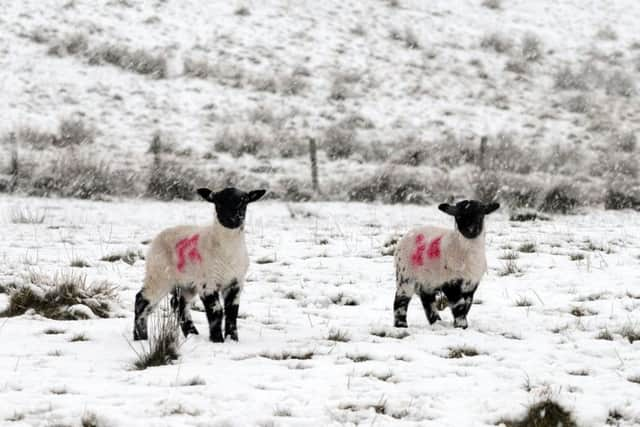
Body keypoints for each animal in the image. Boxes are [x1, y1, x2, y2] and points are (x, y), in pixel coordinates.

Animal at [134, 187, 266, 344]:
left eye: (244, 201)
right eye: (218, 202)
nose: (235, 218)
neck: (227, 250)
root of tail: (158, 237)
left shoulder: (236, 283)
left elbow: (232, 313)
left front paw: (232, 339)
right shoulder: (207, 283)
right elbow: (216, 311)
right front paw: (217, 340)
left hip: (187, 282)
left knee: (177, 303)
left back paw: (191, 334)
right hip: (159, 274)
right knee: (142, 299)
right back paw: (140, 337)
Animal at [390, 202, 500, 330]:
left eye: (481, 215)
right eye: (459, 217)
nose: (470, 230)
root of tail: (405, 236)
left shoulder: (471, 285)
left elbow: (467, 305)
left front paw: (459, 324)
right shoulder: (450, 282)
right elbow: (459, 305)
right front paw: (462, 325)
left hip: (428, 280)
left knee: (427, 299)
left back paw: (436, 322)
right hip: (405, 275)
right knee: (401, 300)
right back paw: (401, 325)